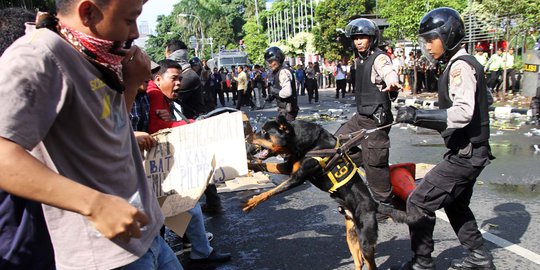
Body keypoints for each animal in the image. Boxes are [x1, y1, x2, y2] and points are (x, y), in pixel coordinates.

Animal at [243, 115, 390, 270]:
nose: (247, 136)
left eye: (264, 132)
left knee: (370, 263)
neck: (299, 140)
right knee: (358, 261)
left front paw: (252, 202)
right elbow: (265, 165)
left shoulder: (297, 177)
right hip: (351, 235)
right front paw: (247, 164)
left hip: (366, 241)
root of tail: (374, 204)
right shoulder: (288, 167)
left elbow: (271, 191)